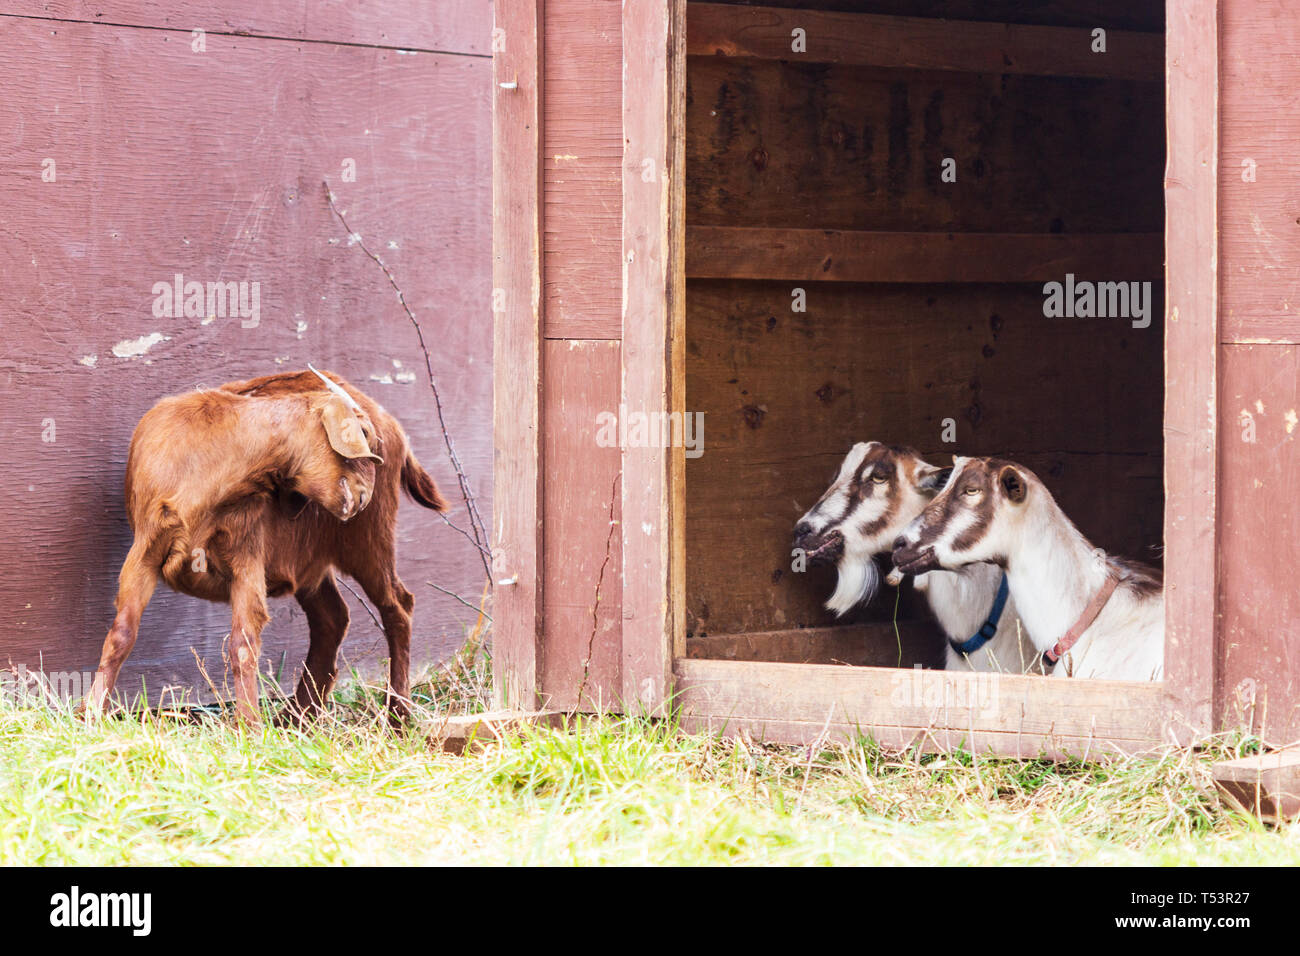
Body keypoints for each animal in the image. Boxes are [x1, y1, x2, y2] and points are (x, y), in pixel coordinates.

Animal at [83, 369, 447, 723]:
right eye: (364, 434)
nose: (363, 497)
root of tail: (395, 426)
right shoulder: (144, 549)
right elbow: (121, 634)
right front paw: (90, 714)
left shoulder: (246, 556)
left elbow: (243, 643)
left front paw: (249, 726)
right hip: (314, 559)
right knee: (333, 618)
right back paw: (298, 718)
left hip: (369, 540)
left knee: (397, 606)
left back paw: (398, 717)